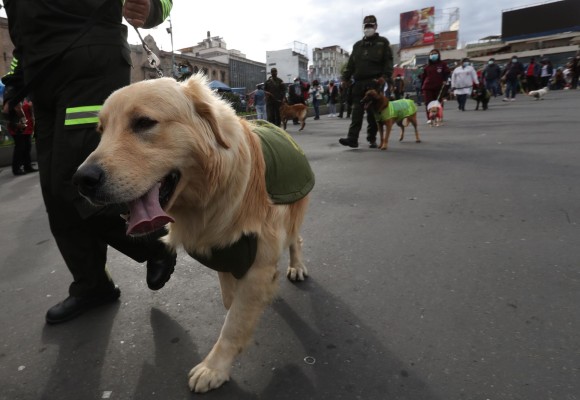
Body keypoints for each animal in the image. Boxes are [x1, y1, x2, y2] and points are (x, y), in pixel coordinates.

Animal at [73, 74, 318, 394]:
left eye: (143, 123)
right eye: (101, 131)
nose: (82, 180)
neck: (212, 198)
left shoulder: (257, 265)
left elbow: (233, 323)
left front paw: (214, 367)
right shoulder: (225, 257)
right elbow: (231, 302)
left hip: (292, 218)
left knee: (296, 239)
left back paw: (297, 266)